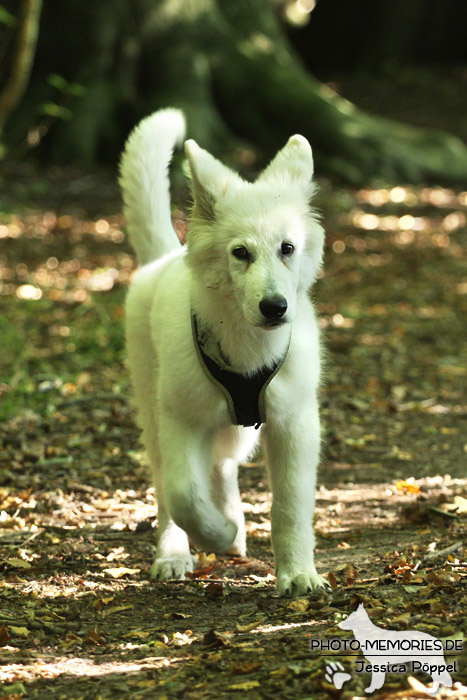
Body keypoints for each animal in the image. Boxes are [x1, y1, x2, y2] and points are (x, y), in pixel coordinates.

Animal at [119, 109, 328, 596]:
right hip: (154, 412)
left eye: (287, 248)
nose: (275, 308)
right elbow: (183, 496)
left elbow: (290, 506)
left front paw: (297, 573)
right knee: (168, 490)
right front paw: (216, 533)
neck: (247, 347)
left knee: (222, 465)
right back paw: (177, 552)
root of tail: (163, 258)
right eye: (241, 253)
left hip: (237, 428)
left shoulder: (294, 423)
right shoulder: (181, 418)